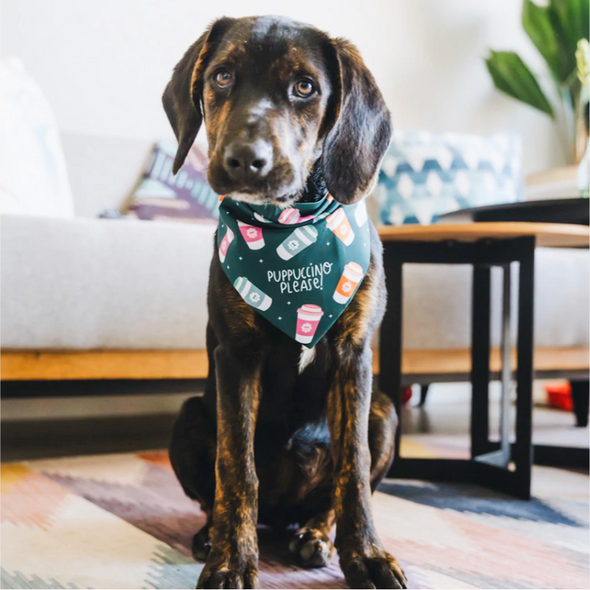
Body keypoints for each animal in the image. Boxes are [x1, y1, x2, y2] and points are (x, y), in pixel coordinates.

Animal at [164, 15, 410, 590]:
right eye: (222, 75)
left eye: (305, 87)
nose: (244, 161)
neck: (289, 228)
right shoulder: (235, 356)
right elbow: (237, 467)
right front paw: (231, 560)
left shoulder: (354, 356)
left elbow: (352, 470)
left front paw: (366, 556)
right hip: (189, 414)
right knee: (219, 493)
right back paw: (213, 534)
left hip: (386, 409)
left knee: (331, 497)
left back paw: (317, 535)